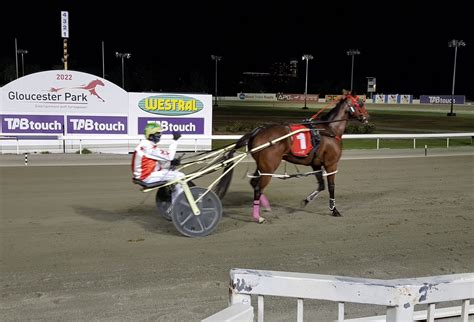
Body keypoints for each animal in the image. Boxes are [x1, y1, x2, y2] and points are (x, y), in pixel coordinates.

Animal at [230, 94, 370, 223]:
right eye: (360, 103)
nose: (367, 117)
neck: (330, 130)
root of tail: (257, 132)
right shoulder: (331, 164)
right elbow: (331, 186)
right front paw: (334, 210)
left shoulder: (316, 164)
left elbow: (321, 185)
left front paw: (305, 201)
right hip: (269, 166)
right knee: (258, 188)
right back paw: (258, 217)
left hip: (262, 165)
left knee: (254, 183)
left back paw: (266, 206)